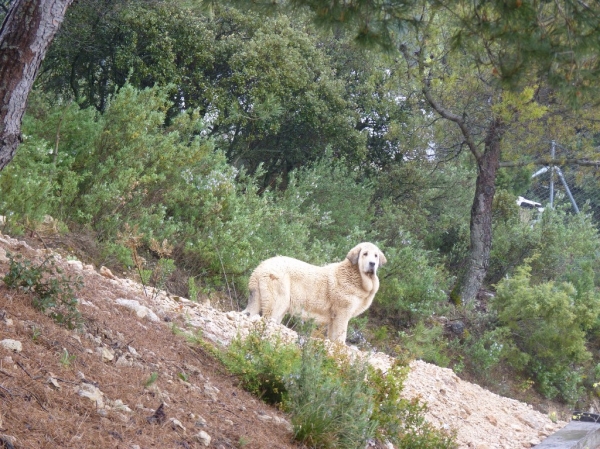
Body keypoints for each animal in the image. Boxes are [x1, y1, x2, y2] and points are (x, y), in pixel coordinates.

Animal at [243, 242, 386, 344]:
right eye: (365, 254)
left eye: (376, 256)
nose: (372, 264)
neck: (356, 277)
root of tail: (259, 267)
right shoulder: (342, 311)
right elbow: (341, 334)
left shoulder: (334, 316)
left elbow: (333, 334)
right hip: (279, 298)